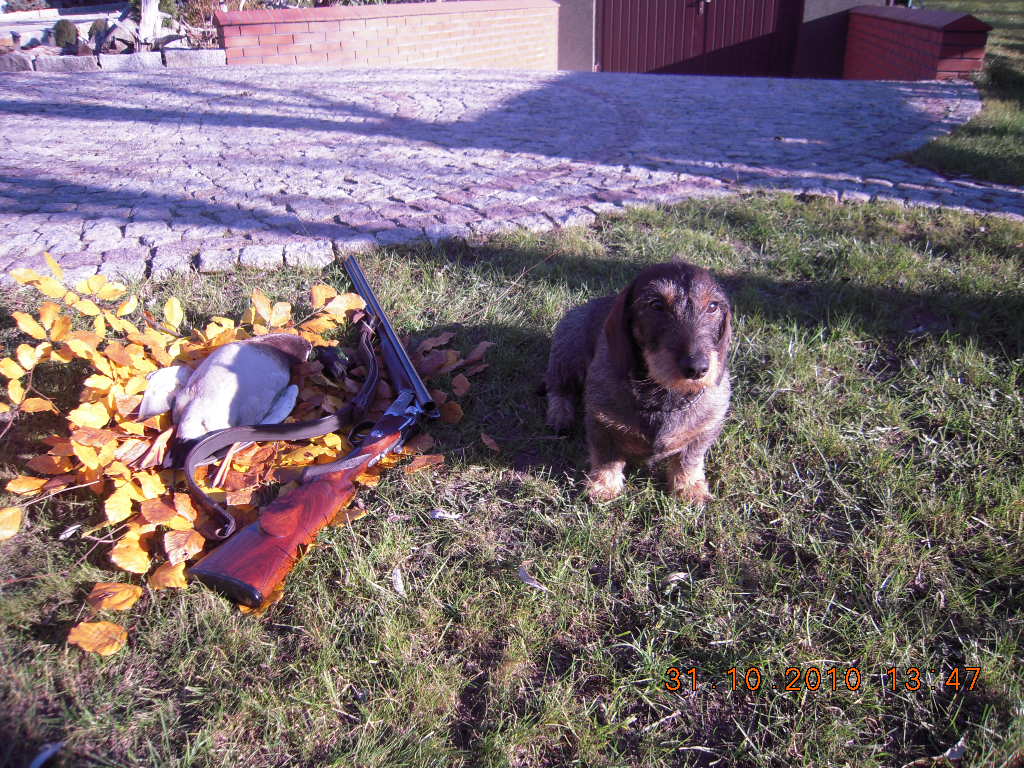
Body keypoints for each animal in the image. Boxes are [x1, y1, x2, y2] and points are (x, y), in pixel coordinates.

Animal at [544, 260, 732, 503]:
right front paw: (604, 485)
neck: (664, 396)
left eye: (713, 306)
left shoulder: (706, 428)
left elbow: (689, 459)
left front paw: (689, 487)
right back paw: (560, 415)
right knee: (558, 388)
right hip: (567, 352)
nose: (697, 368)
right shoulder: (601, 423)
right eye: (656, 304)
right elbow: (607, 457)